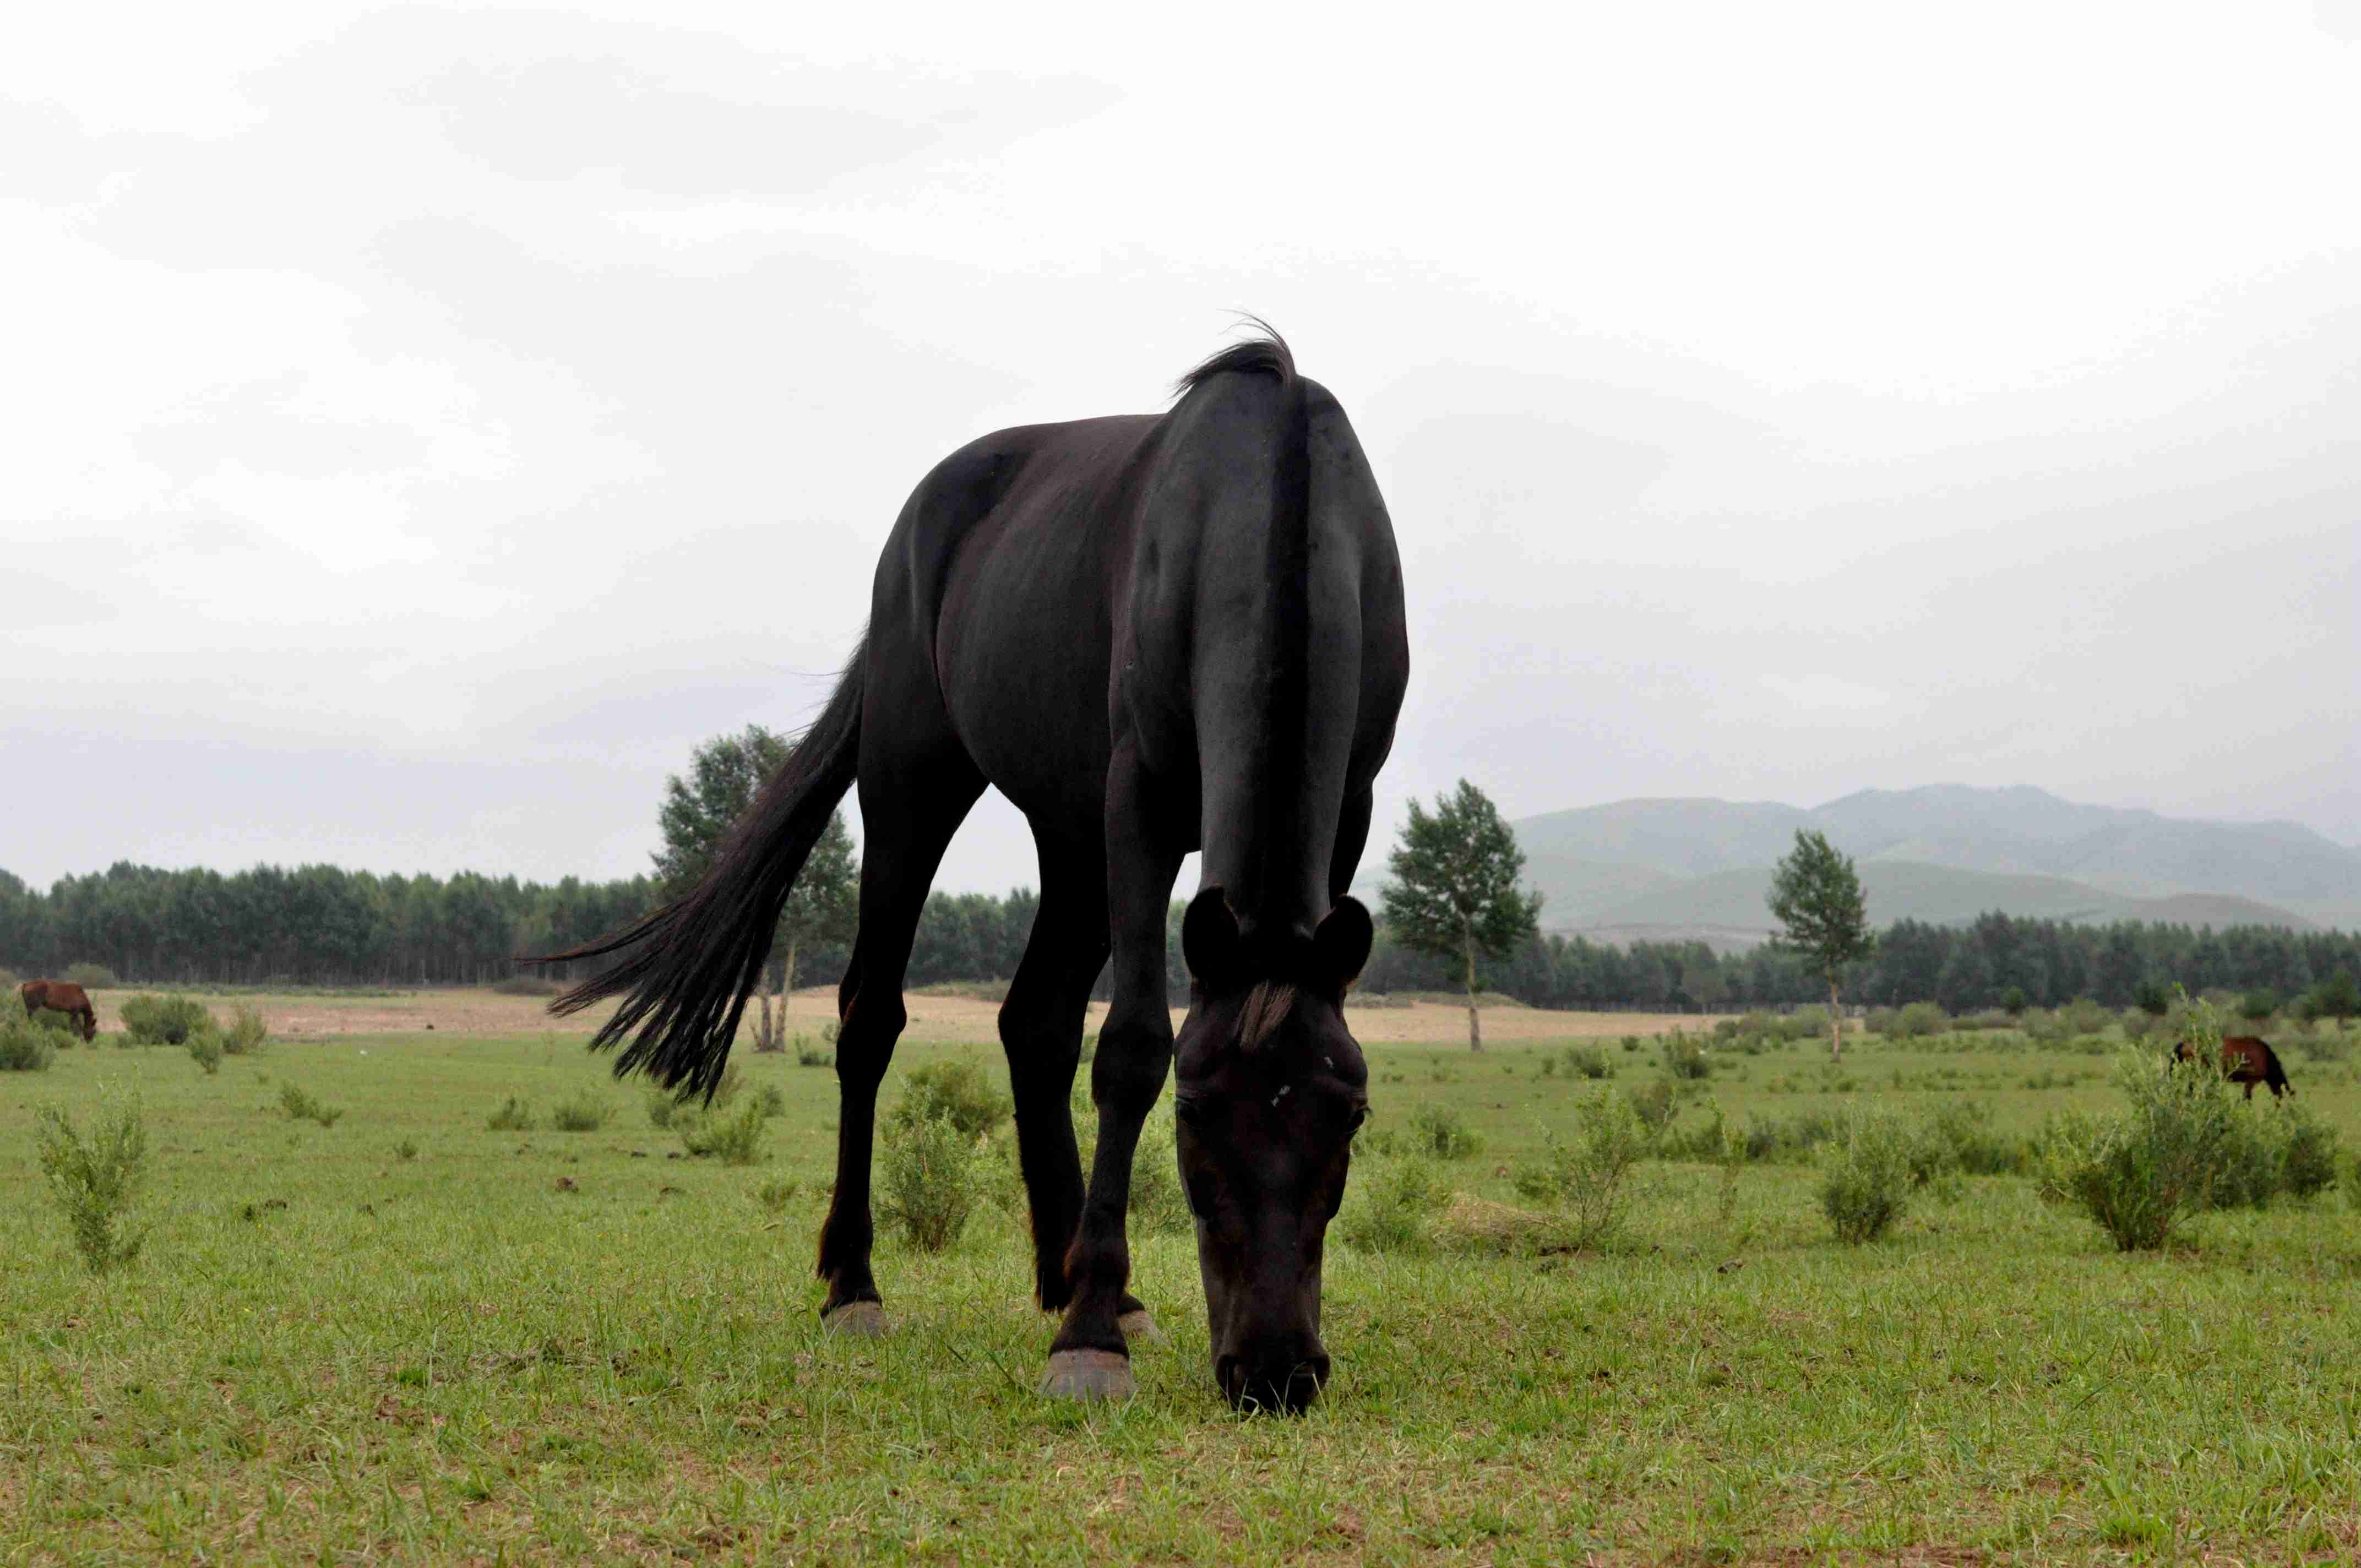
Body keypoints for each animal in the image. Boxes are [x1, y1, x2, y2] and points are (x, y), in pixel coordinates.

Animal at [19, 982, 97, 1039]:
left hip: (29, 1005)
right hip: (34, 1005)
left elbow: (72, 1024)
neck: (81, 997)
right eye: (93, 1030)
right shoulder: (75, 1012)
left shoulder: (71, 1013)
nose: (90, 1040)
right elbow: (78, 1025)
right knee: (30, 1016)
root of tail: (26, 985)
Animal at [543, 330, 1407, 1407]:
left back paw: (1079, 1280)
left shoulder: (1348, 808)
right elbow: (1130, 1047)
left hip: (1070, 837)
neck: (1271, 497)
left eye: (1351, 1112)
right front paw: (1089, 1340)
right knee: (870, 1016)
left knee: (1034, 1020)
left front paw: (1098, 1304)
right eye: (1197, 1111)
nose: (1275, 1370)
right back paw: (858, 1288)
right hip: (915, 782)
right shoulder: (1139, 800)